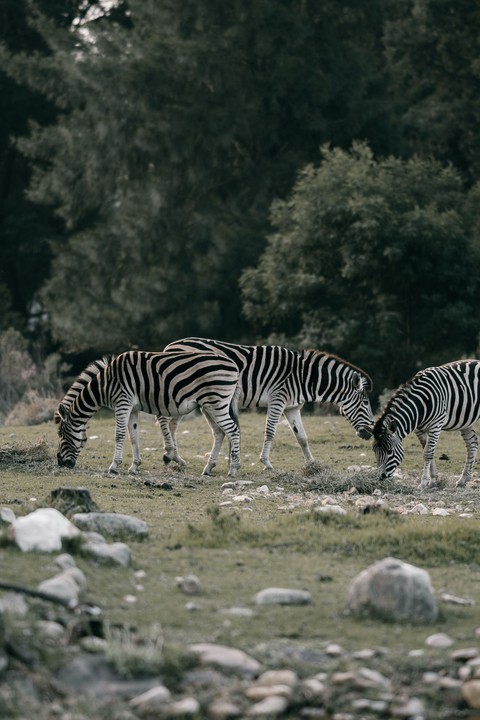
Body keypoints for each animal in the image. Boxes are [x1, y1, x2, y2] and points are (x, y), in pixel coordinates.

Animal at [55, 350, 241, 476]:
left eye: (62, 436)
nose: (59, 462)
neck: (105, 384)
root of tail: (233, 365)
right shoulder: (133, 408)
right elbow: (133, 436)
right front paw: (134, 466)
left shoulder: (122, 402)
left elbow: (119, 434)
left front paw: (114, 466)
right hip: (208, 406)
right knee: (219, 433)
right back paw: (208, 468)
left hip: (216, 403)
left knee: (233, 431)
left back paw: (233, 469)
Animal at [159, 337, 374, 471]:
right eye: (365, 403)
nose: (370, 433)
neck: (303, 377)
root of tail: (169, 346)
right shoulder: (278, 399)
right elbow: (270, 432)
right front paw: (266, 462)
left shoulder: (292, 407)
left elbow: (302, 437)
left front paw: (312, 464)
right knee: (166, 421)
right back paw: (172, 455)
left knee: (172, 424)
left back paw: (177, 458)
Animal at [373, 359, 480, 489]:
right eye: (375, 452)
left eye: (389, 451)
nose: (380, 477)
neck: (421, 404)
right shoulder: (419, 429)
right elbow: (427, 450)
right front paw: (433, 480)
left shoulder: (436, 425)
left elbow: (428, 453)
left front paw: (424, 482)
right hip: (465, 421)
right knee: (472, 444)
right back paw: (463, 480)